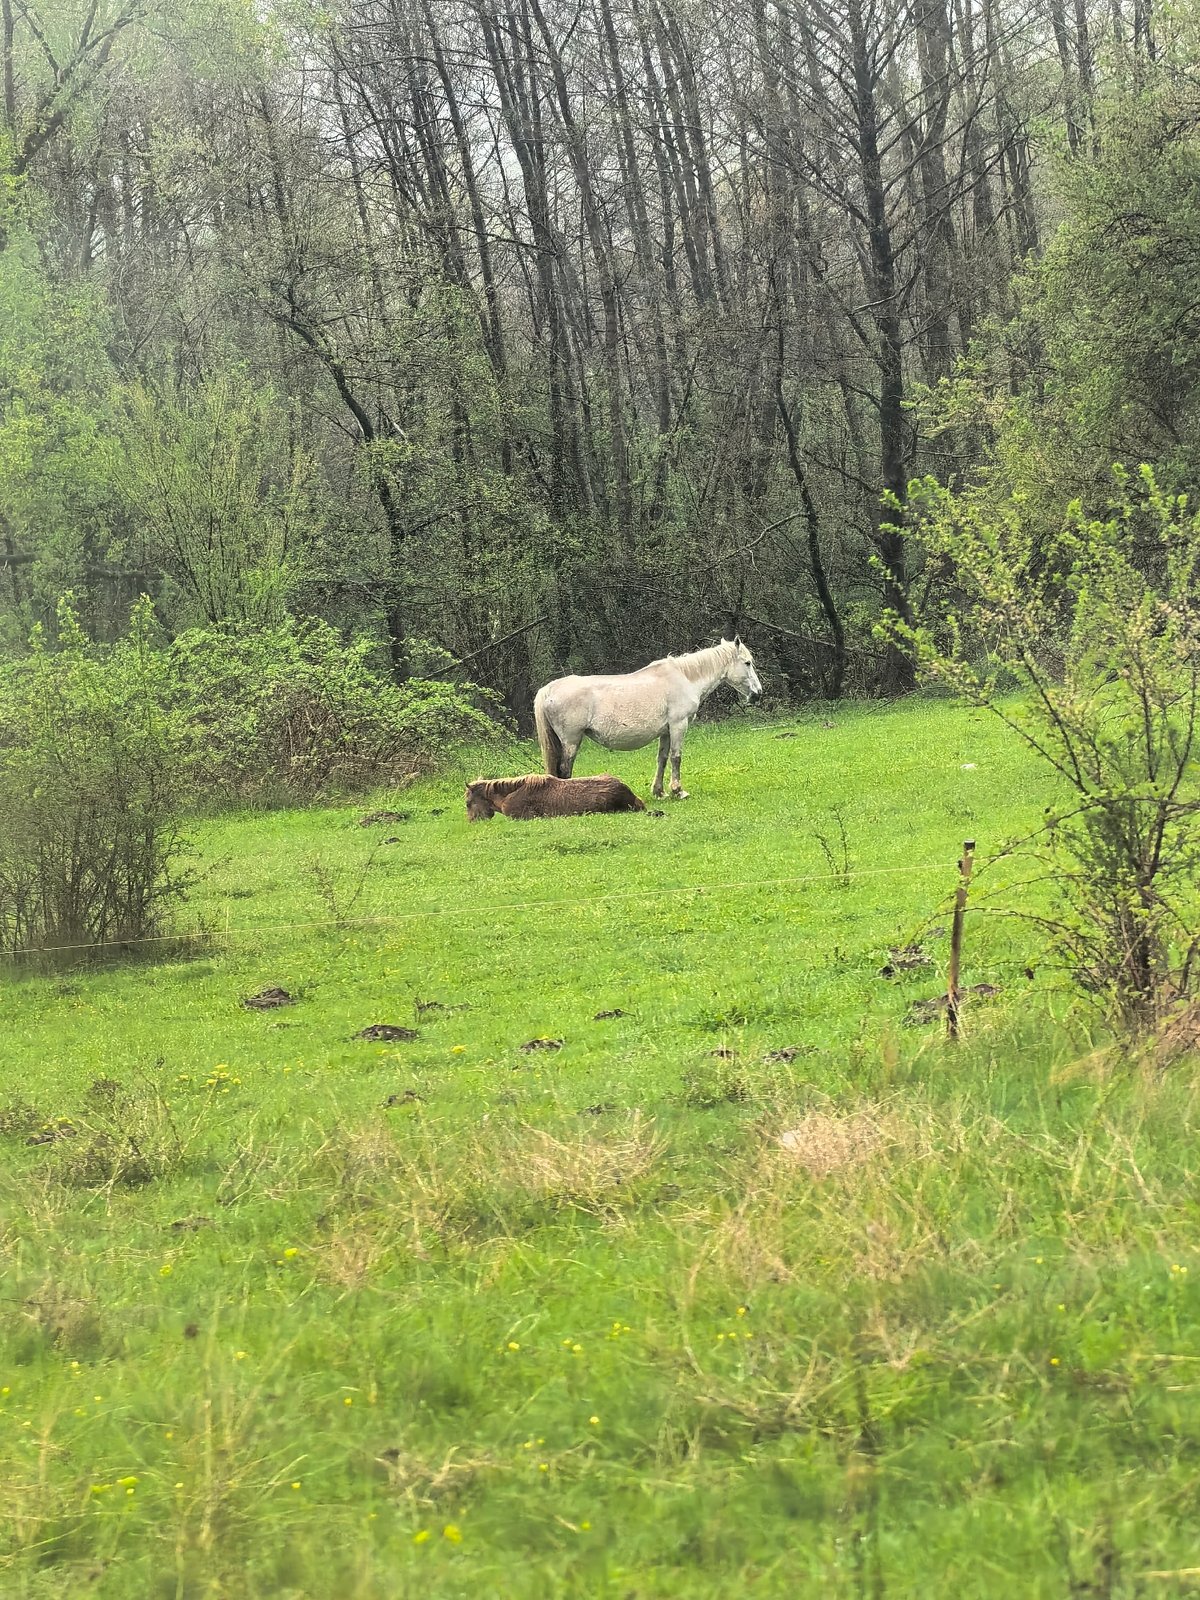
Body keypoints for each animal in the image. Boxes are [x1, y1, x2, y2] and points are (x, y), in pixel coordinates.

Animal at [533, 638, 762, 800]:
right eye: (747, 663)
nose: (758, 693)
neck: (685, 678)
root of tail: (549, 689)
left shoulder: (666, 731)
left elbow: (662, 759)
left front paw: (659, 791)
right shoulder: (679, 725)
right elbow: (676, 757)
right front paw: (678, 791)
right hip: (571, 741)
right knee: (564, 770)